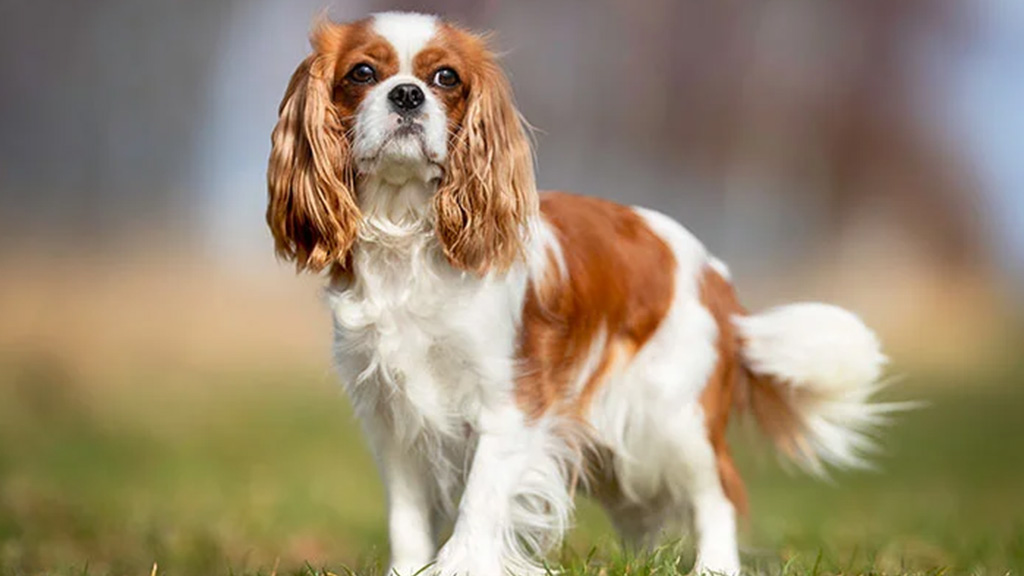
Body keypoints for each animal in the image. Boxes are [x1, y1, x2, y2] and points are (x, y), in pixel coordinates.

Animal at [268, 11, 892, 569]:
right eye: (362, 73)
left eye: (445, 78)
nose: (406, 95)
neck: (407, 236)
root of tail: (713, 270)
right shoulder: (393, 420)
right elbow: (407, 523)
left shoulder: (509, 405)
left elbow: (476, 511)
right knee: (643, 516)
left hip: (672, 420)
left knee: (716, 495)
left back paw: (713, 567)